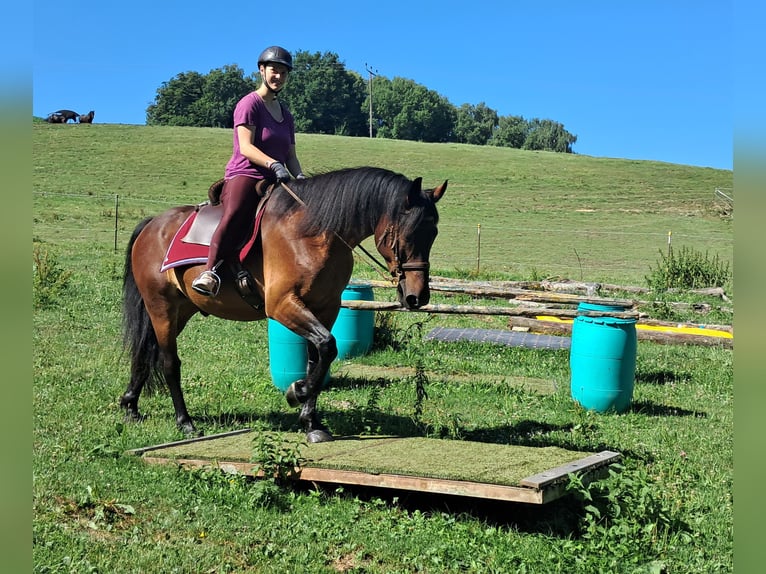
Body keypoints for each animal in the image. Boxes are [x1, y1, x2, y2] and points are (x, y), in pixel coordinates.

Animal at [122, 167, 447, 442]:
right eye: (408, 233)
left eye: (433, 233)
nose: (417, 297)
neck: (314, 233)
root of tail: (153, 224)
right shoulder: (281, 304)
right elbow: (327, 346)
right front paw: (297, 391)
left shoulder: (326, 307)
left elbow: (319, 357)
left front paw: (312, 422)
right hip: (161, 307)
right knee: (168, 362)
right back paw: (185, 421)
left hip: (181, 310)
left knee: (146, 351)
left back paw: (130, 406)